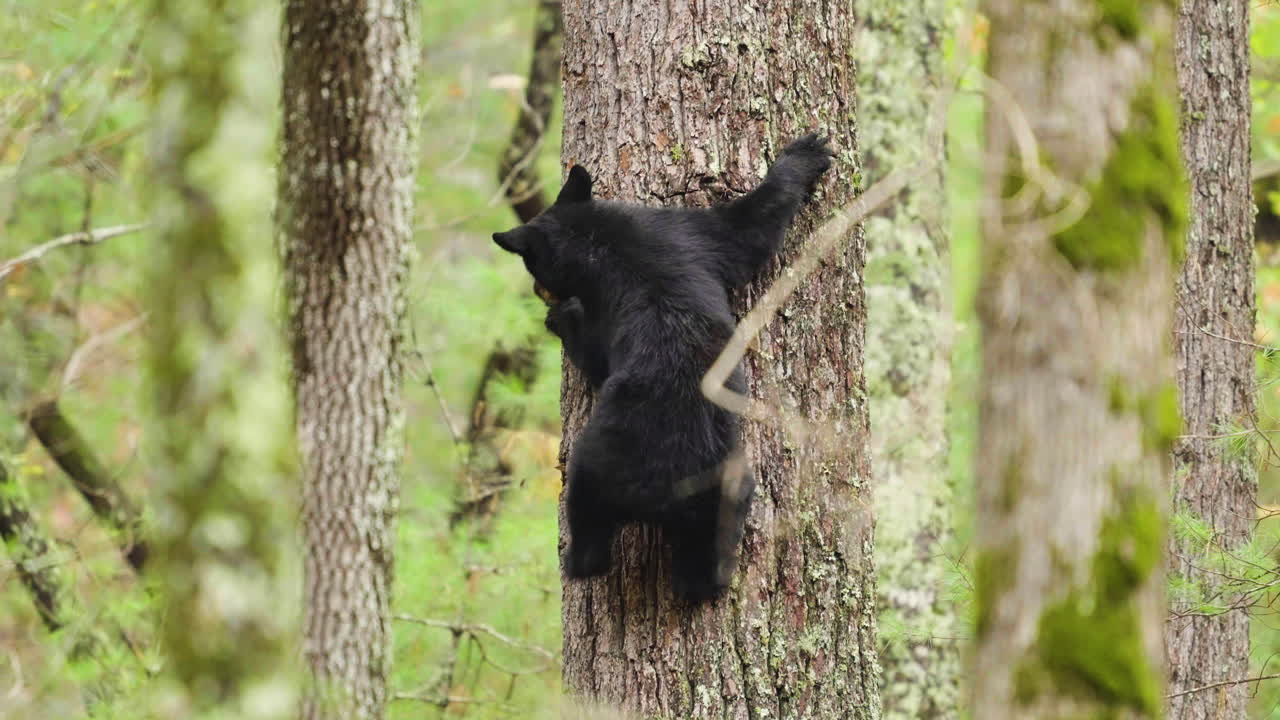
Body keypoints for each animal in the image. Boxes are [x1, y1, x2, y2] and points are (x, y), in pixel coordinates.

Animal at [492, 133, 833, 602]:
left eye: (531, 263)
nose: (538, 290)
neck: (597, 240)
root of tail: (667, 493)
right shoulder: (685, 236)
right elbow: (747, 228)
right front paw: (808, 154)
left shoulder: (629, 281)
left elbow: (595, 357)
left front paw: (562, 317)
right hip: (725, 487)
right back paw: (702, 586)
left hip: (597, 464)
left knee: (587, 520)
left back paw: (574, 562)